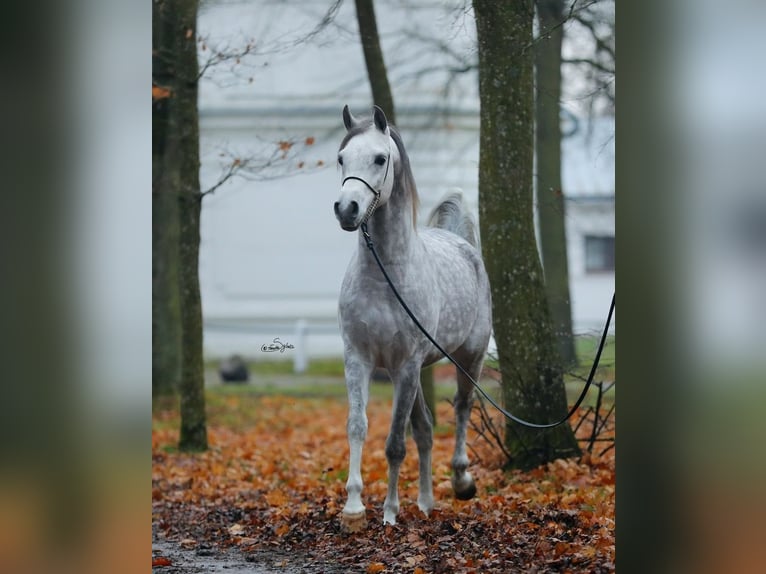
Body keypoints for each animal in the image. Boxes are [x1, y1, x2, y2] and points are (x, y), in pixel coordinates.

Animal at [334, 106, 492, 532]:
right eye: (341, 158)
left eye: (380, 158)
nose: (347, 209)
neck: (385, 275)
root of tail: (461, 242)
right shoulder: (361, 360)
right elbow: (359, 427)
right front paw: (354, 508)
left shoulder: (405, 365)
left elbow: (394, 444)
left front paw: (389, 512)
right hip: (417, 371)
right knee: (425, 430)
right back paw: (425, 501)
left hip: (466, 359)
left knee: (461, 407)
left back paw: (460, 480)